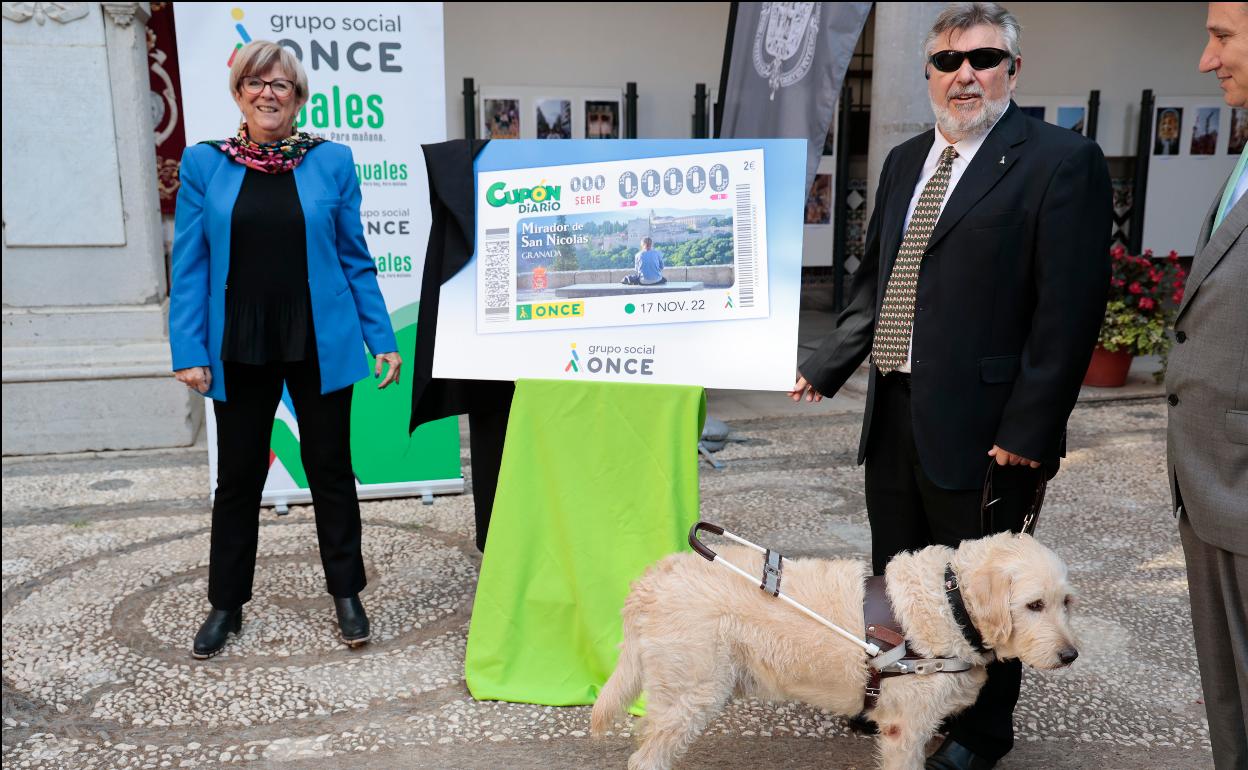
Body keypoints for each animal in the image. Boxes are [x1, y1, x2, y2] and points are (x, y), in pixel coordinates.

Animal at [589, 531, 1078, 768]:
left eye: (1066, 603)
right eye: (1034, 605)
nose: (1070, 655)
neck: (950, 602)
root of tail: (652, 579)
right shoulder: (905, 730)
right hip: (692, 695)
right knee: (645, 759)